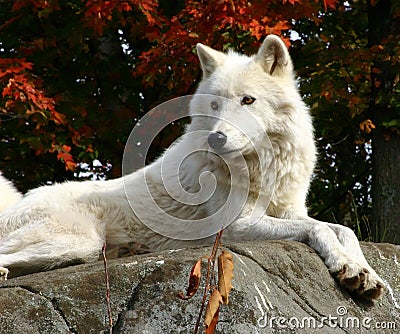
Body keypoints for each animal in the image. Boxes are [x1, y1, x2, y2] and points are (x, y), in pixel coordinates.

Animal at [0, 35, 384, 298]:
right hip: (76, 241)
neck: (260, 167)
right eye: (214, 104)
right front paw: (348, 266)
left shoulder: (290, 211)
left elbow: (342, 230)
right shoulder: (235, 227)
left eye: (248, 100)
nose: (216, 139)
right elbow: (319, 229)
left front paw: (361, 270)